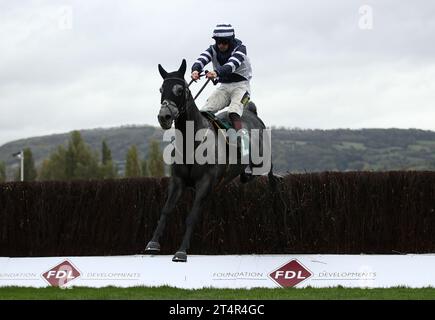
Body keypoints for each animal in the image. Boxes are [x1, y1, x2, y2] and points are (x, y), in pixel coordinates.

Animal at [145, 58, 278, 262]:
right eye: (161, 89)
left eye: (180, 89)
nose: (164, 117)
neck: (192, 142)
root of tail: (252, 112)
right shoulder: (178, 181)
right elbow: (166, 210)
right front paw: (153, 243)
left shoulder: (205, 182)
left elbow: (192, 216)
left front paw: (181, 252)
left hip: (261, 160)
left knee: (268, 173)